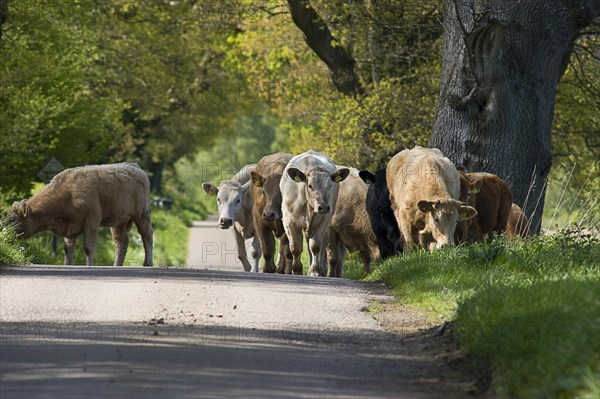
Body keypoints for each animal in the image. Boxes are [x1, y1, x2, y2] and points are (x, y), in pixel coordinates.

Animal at [7, 164, 152, 268]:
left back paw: (147, 263)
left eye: (12, 219)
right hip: (119, 222)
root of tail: (136, 167)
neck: (68, 194)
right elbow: (68, 247)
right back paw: (117, 265)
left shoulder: (92, 221)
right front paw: (67, 264)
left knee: (147, 235)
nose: (4, 231)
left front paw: (89, 265)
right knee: (121, 241)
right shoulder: (70, 227)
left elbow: (88, 247)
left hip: (141, 215)